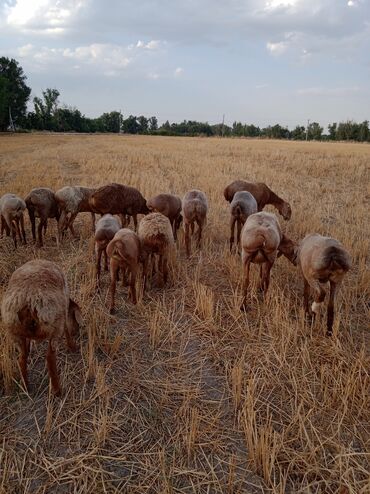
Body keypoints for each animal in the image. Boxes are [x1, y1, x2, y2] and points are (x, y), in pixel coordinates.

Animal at [1, 260, 82, 396]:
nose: (78, 331)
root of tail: (27, 300)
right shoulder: (63, 315)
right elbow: (67, 329)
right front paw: (72, 346)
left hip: (14, 331)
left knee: (21, 359)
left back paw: (26, 386)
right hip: (54, 326)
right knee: (49, 357)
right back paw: (57, 390)